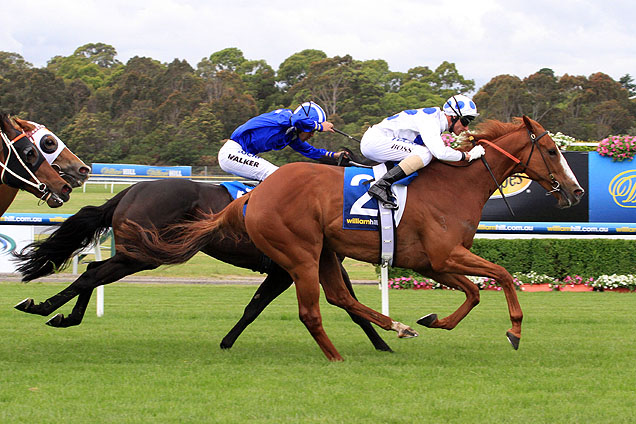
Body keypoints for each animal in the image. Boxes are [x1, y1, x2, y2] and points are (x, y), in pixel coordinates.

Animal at [117, 116, 584, 362]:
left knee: (341, 298)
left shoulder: (432, 262)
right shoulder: (443, 255)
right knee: (312, 311)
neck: (454, 185)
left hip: (324, 252)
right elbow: (501, 275)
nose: (576, 191)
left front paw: (433, 320)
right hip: (300, 255)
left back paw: (396, 329)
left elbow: (473, 292)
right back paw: (337, 356)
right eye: (552, 151)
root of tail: (253, 195)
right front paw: (515, 331)